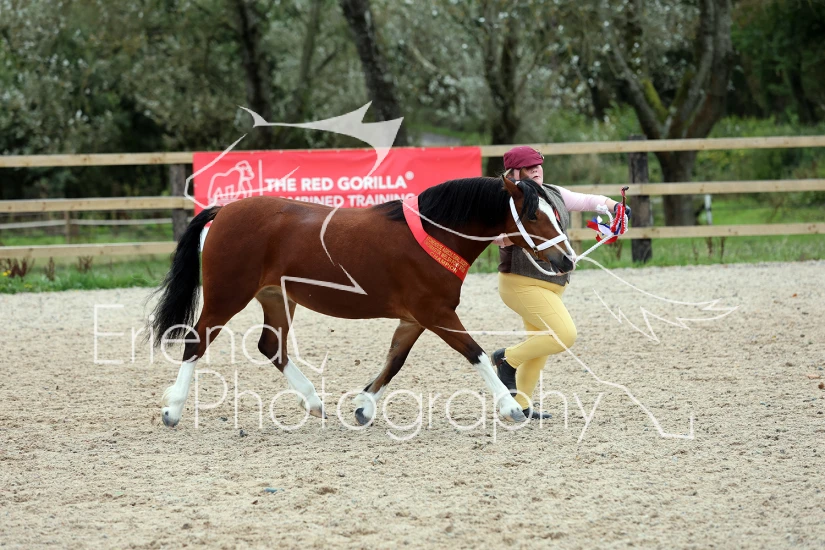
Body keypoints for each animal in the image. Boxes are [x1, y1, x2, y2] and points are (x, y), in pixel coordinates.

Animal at [151, 175, 574, 428]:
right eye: (533, 216)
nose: (567, 260)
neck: (434, 234)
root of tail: (225, 210)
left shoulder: (416, 318)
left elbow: (395, 360)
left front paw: (363, 406)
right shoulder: (436, 313)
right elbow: (477, 354)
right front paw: (511, 407)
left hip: (276, 298)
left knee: (271, 346)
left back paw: (313, 402)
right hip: (226, 296)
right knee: (196, 342)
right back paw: (173, 410)